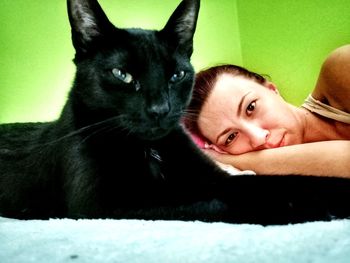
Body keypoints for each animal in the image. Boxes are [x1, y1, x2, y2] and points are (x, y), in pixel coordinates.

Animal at [0, 0, 350, 226]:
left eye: (176, 75)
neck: (151, 150)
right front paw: (304, 209)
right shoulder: (105, 206)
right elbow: (212, 205)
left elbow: (284, 180)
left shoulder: (216, 178)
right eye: (122, 74)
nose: (160, 109)